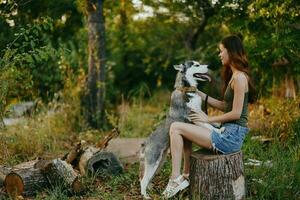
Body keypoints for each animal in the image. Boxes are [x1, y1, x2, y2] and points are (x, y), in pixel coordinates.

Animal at [140, 60, 223, 198]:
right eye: (196, 65)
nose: (209, 66)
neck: (186, 88)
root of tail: (146, 142)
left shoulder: (199, 112)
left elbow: (208, 119)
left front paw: (218, 124)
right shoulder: (193, 116)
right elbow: (206, 125)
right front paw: (218, 131)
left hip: (159, 163)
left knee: (147, 178)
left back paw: (150, 189)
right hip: (153, 162)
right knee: (143, 180)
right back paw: (146, 196)